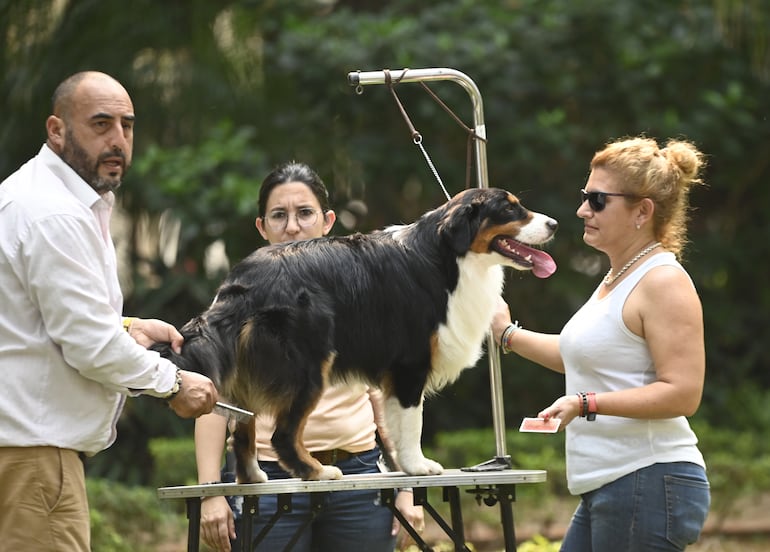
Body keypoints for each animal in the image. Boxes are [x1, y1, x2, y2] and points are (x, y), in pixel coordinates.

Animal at [153, 188, 556, 480]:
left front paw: (404, 466)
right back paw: (316, 472)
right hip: (309, 364)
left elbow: (395, 421)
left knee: (243, 425)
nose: (553, 223)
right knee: (282, 434)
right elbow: (413, 421)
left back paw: (253, 478)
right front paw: (418, 466)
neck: (448, 257)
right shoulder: (410, 361)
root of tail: (242, 281)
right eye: (510, 210)